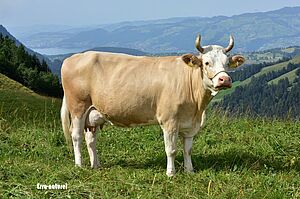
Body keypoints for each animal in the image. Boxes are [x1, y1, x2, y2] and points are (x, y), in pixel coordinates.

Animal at [59, 34, 245, 176]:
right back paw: (79, 165)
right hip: (78, 107)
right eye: (206, 63)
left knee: (91, 138)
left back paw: (96, 165)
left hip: (93, 114)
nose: (224, 80)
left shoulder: (190, 124)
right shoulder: (169, 121)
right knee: (76, 136)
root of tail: (73, 57)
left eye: (227, 63)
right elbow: (171, 149)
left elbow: (188, 149)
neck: (196, 107)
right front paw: (171, 173)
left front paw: (189, 171)